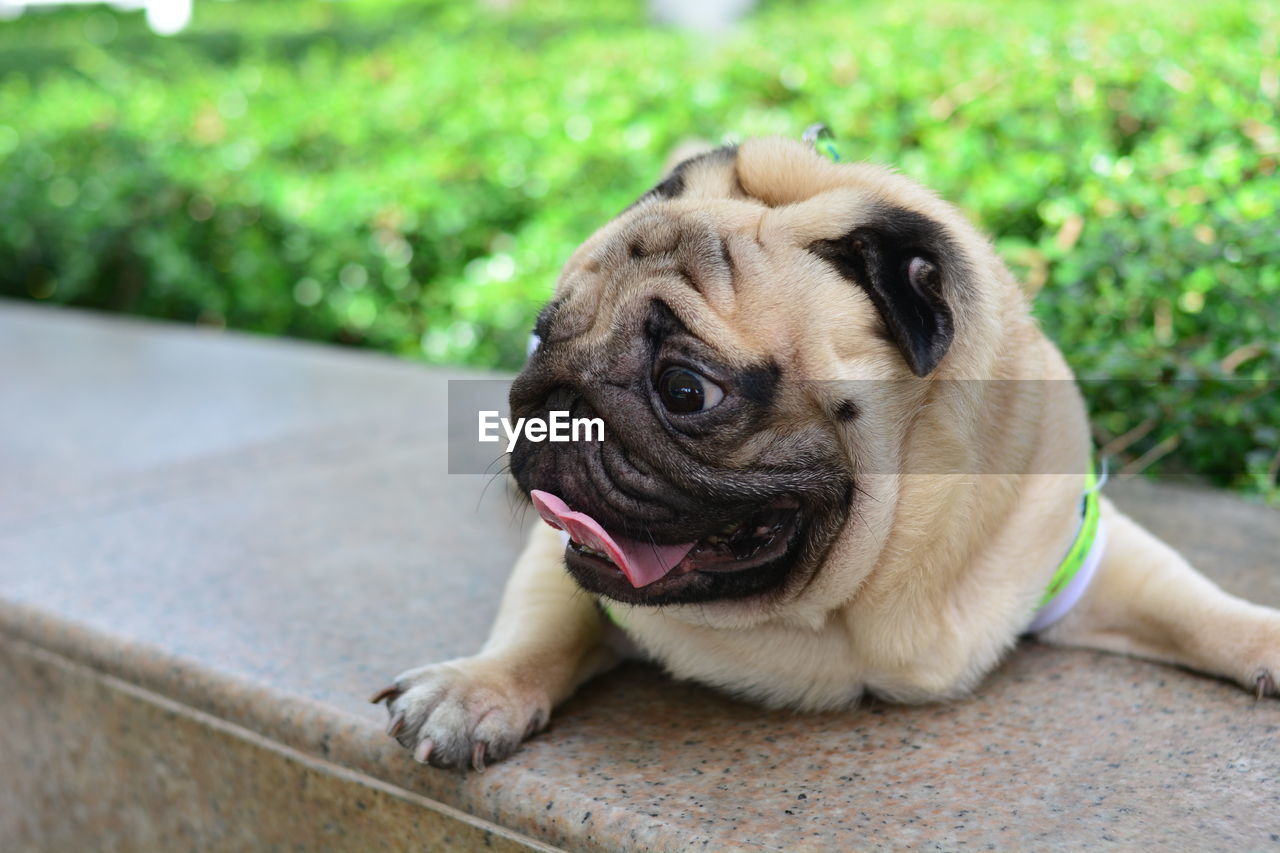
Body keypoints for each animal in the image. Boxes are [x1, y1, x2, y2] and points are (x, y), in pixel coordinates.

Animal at [371, 136, 1280, 768]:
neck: (856, 601)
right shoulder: (562, 557)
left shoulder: (1076, 542)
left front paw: (1263, 636)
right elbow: (542, 622)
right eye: (538, 340)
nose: (557, 404)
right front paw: (477, 691)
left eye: (685, 390)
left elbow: (1192, 603)